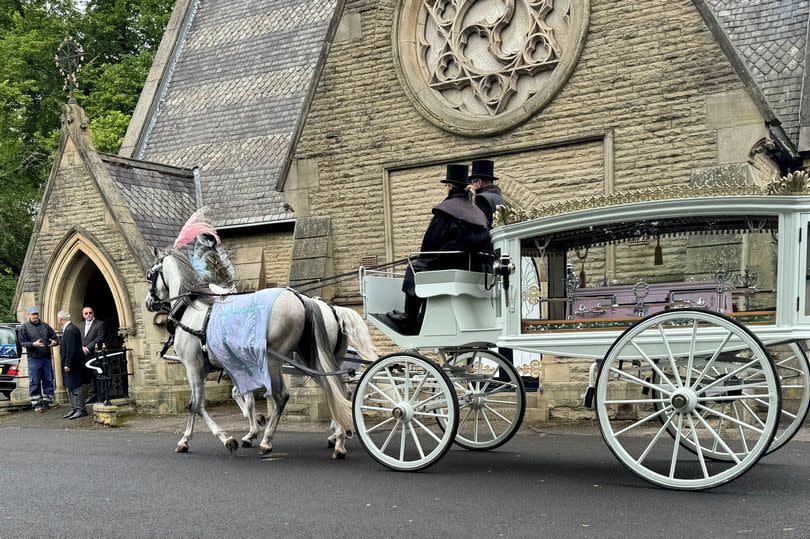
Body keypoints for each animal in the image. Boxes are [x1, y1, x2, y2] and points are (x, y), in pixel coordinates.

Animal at [145, 249, 372, 460]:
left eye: (150, 275)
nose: (148, 302)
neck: (192, 309)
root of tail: (304, 300)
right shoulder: (235, 366)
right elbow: (242, 398)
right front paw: (250, 429)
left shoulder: (194, 366)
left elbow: (196, 405)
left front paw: (201, 440)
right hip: (313, 360)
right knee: (336, 390)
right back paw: (339, 439)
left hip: (275, 360)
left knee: (284, 396)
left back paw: (268, 440)